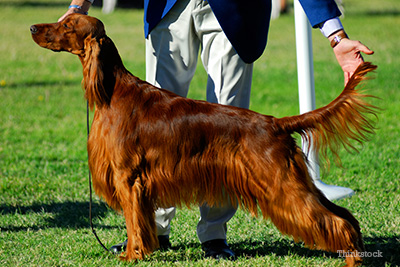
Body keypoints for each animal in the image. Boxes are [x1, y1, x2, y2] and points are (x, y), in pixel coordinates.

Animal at [32, 14, 378, 266]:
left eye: (67, 25)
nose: (34, 27)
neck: (112, 91)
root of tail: (275, 123)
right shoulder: (138, 184)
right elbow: (141, 223)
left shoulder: (128, 178)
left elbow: (133, 223)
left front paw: (132, 255)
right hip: (295, 180)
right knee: (345, 216)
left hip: (282, 184)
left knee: (335, 220)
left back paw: (352, 259)